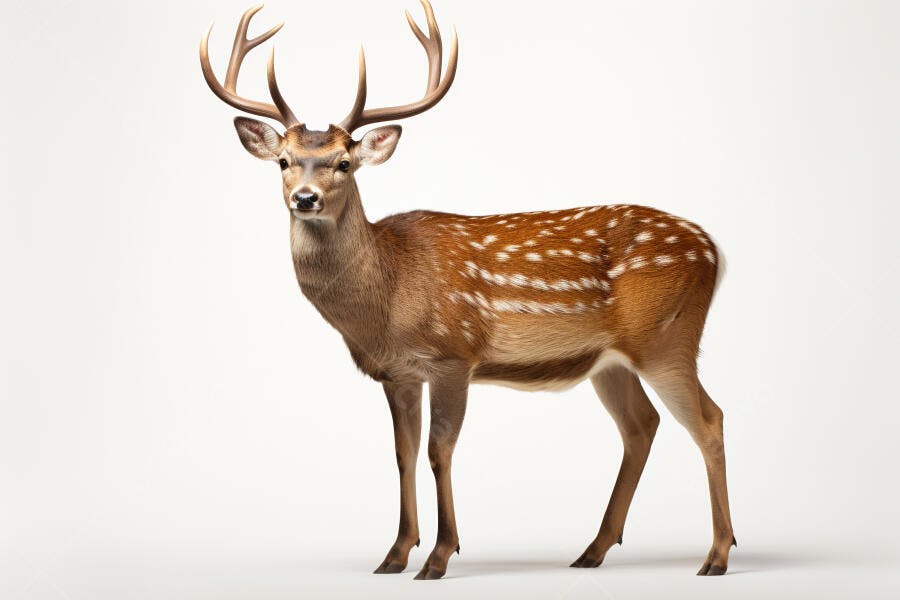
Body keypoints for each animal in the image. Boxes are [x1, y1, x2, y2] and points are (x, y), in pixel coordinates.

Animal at [199, 1, 736, 580]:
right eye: (283, 161)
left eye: (344, 163)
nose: (304, 197)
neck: (387, 299)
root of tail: (715, 251)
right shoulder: (398, 373)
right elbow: (403, 453)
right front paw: (394, 554)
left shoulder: (453, 354)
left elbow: (440, 450)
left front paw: (438, 556)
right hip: (611, 361)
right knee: (641, 425)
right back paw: (592, 550)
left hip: (667, 338)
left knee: (709, 419)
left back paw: (717, 554)